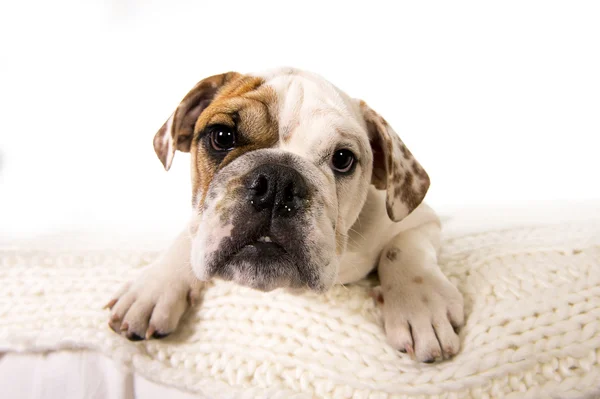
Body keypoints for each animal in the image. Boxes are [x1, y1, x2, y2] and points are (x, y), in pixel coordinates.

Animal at [106, 68, 464, 362]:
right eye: (222, 136)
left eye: (343, 159)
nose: (277, 182)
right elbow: (189, 237)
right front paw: (153, 287)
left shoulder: (420, 221)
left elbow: (400, 250)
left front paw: (419, 305)